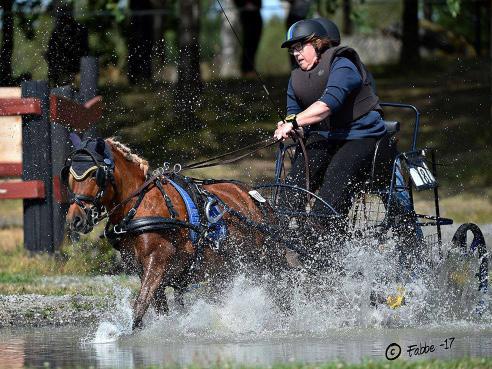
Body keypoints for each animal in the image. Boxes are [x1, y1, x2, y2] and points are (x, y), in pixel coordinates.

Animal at [63, 135, 284, 328]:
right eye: (69, 175)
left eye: (95, 174)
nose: (75, 219)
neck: (139, 204)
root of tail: (254, 197)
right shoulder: (147, 272)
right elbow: (159, 309)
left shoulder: (156, 263)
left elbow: (140, 307)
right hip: (225, 269)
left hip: (267, 261)